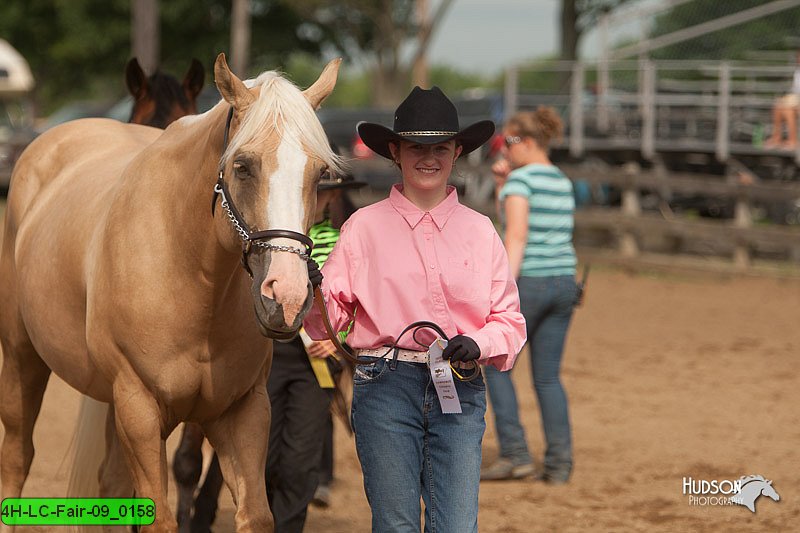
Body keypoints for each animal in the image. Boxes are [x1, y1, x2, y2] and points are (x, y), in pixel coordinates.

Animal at [0, 54, 340, 532]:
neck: (189, 273)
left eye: (319, 173)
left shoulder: (242, 411)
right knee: (17, 458)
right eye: (243, 166)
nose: (287, 298)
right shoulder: (139, 409)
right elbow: (158, 518)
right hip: (22, 358)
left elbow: (254, 513)